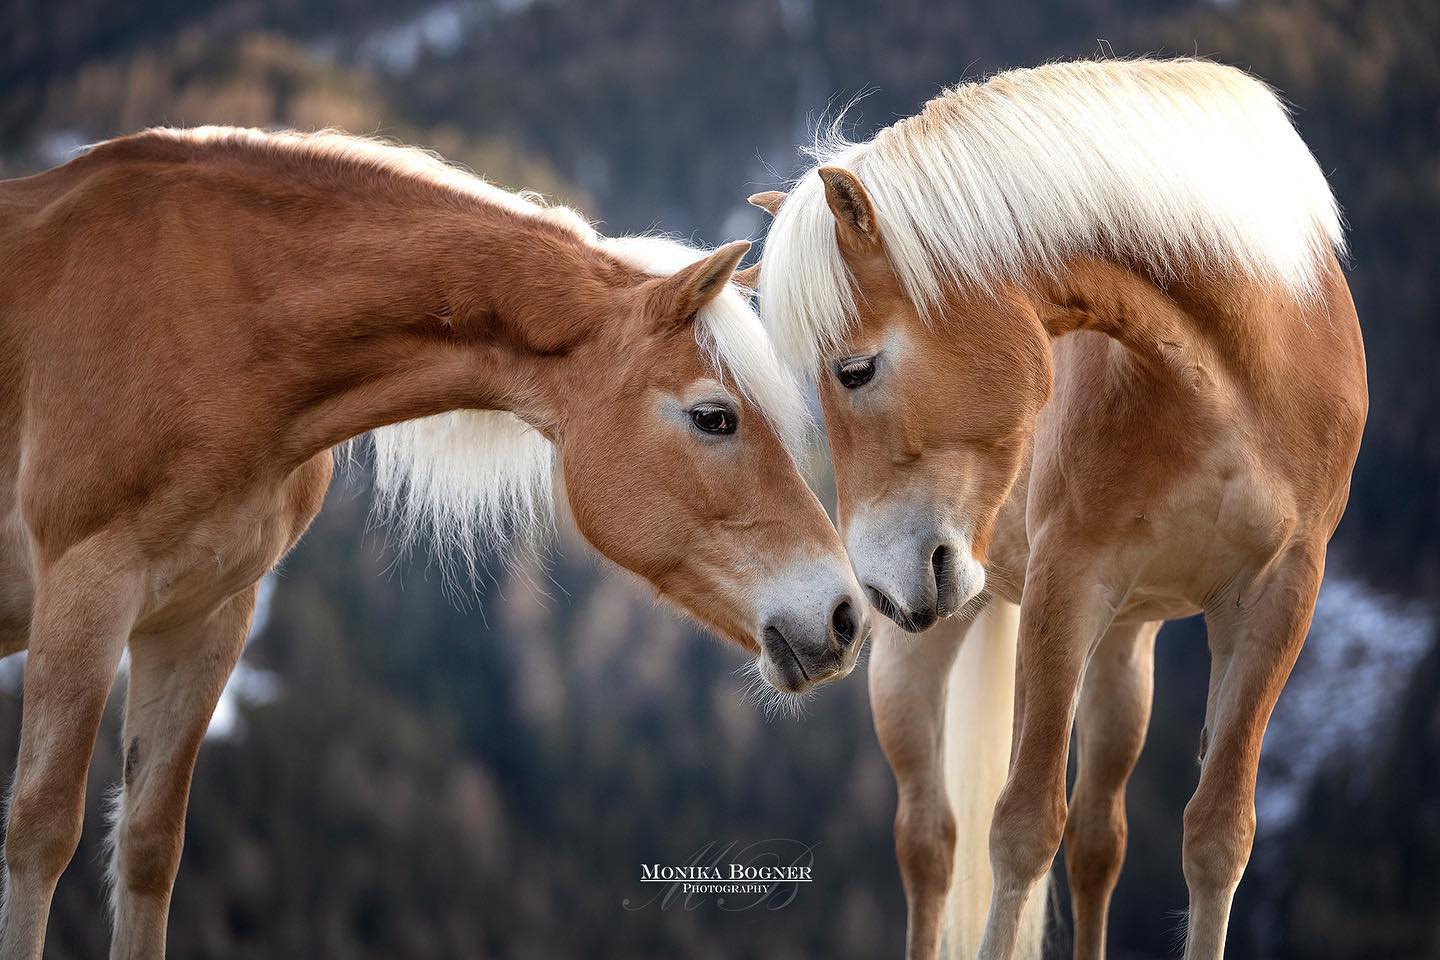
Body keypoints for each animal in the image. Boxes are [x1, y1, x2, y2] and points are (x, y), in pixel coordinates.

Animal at [0, 127, 869, 960]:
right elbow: (40, 834)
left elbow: (148, 849)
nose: (845, 617)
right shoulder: (88, 590)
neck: (217, 319)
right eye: (714, 417)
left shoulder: (204, 617)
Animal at [748, 60, 1365, 960]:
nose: (881, 587)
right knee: (930, 842)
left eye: (854, 371)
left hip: (1124, 649)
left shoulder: (1279, 597)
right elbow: (1020, 830)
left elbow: (1219, 837)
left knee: (1099, 838)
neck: (1237, 374)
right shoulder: (1067, 583)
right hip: (923, 656)